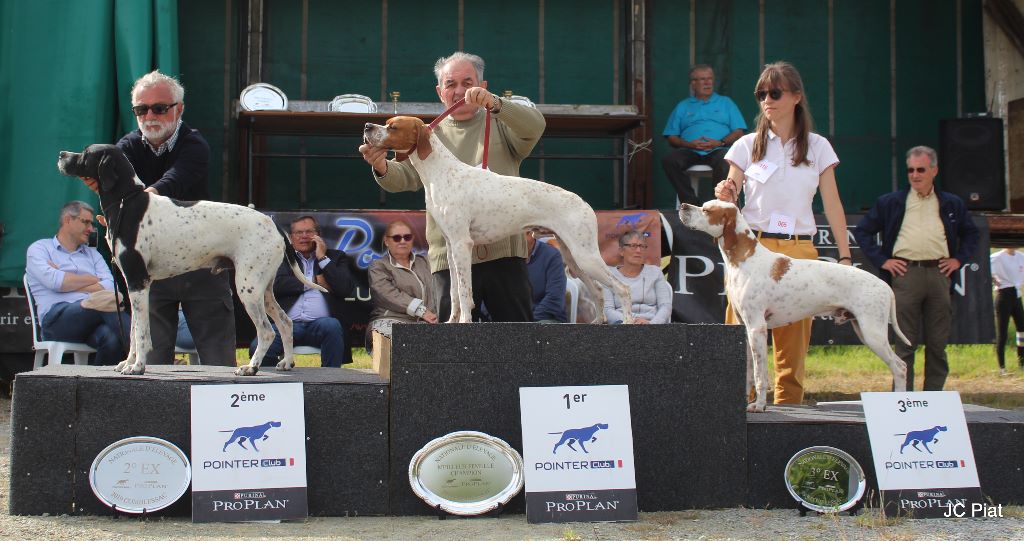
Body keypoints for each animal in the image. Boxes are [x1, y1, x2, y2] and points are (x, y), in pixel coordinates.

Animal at [58, 141, 321, 375]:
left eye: (86, 153)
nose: (61, 154)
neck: (127, 203)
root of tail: (274, 224)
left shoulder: (138, 282)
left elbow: (141, 334)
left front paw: (138, 366)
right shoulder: (135, 286)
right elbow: (133, 332)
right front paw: (128, 363)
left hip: (248, 288)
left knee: (267, 331)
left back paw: (251, 367)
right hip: (263, 289)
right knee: (286, 322)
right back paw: (287, 362)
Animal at [679, 200, 905, 411]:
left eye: (707, 210)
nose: (683, 206)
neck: (745, 259)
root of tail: (886, 286)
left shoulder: (757, 328)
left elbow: (760, 374)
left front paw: (759, 405)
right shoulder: (745, 328)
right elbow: (750, 373)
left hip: (873, 333)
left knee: (900, 367)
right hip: (863, 329)